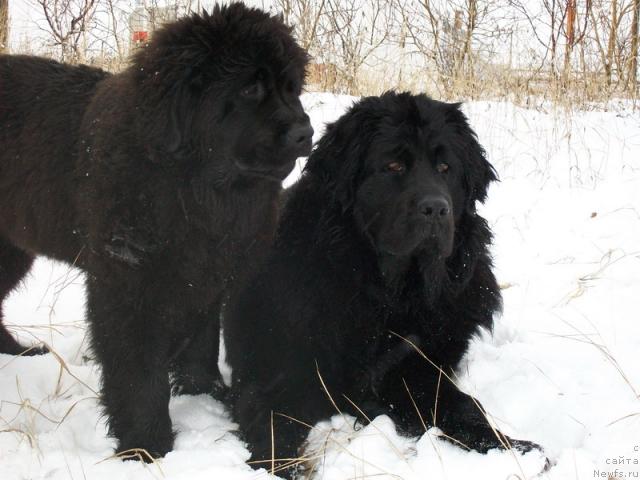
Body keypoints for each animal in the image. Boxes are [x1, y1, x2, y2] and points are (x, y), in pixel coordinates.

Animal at [0, 4, 312, 462]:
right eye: (250, 88)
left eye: (292, 89)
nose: (305, 132)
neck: (192, 187)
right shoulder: (128, 282)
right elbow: (140, 372)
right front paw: (147, 444)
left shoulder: (206, 275)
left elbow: (201, 340)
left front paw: (204, 393)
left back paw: (18, 351)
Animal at [225, 92, 540, 474]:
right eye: (393, 166)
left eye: (445, 169)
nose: (436, 208)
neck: (391, 292)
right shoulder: (276, 375)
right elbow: (273, 428)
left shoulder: (414, 368)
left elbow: (462, 406)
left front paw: (515, 450)